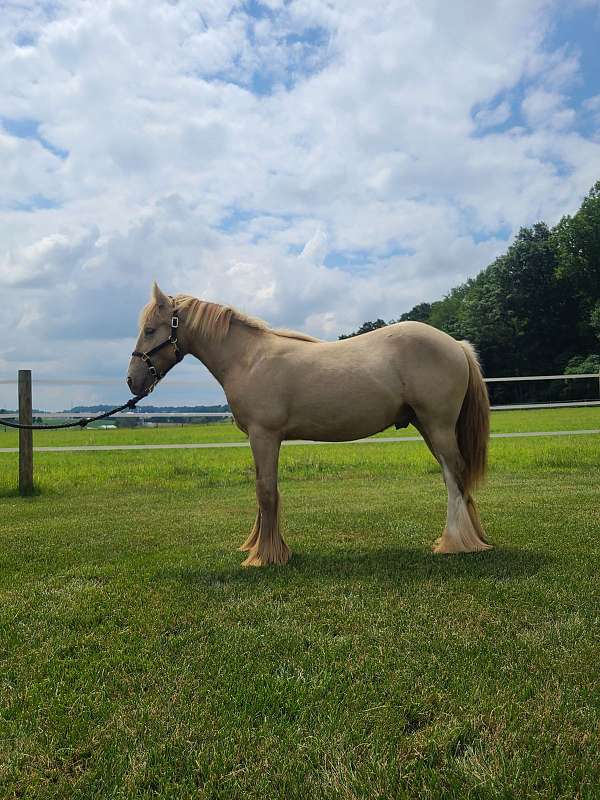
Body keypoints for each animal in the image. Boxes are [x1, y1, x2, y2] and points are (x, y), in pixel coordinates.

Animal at [126, 284, 492, 564]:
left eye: (150, 330)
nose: (132, 381)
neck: (249, 359)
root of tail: (456, 345)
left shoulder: (264, 436)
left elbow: (266, 492)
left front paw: (265, 557)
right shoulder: (260, 439)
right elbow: (263, 489)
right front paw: (260, 547)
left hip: (438, 426)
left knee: (454, 475)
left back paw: (455, 543)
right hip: (428, 427)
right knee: (454, 477)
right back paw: (472, 539)